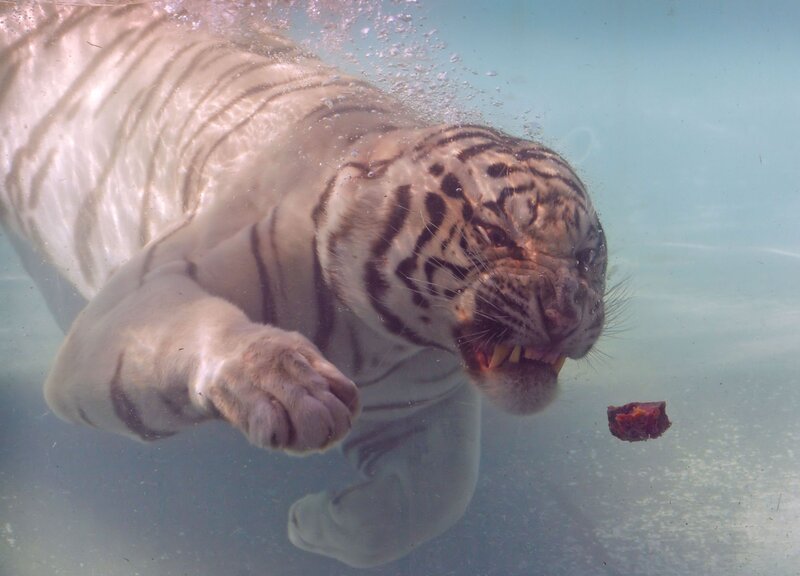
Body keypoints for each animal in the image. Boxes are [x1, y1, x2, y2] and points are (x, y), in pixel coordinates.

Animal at [0, 2, 608, 568]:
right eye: (494, 233)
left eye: (587, 256)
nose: (566, 317)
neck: (385, 340)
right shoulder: (125, 310)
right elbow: (192, 331)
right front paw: (287, 386)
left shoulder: (423, 405)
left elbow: (438, 498)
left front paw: (311, 524)